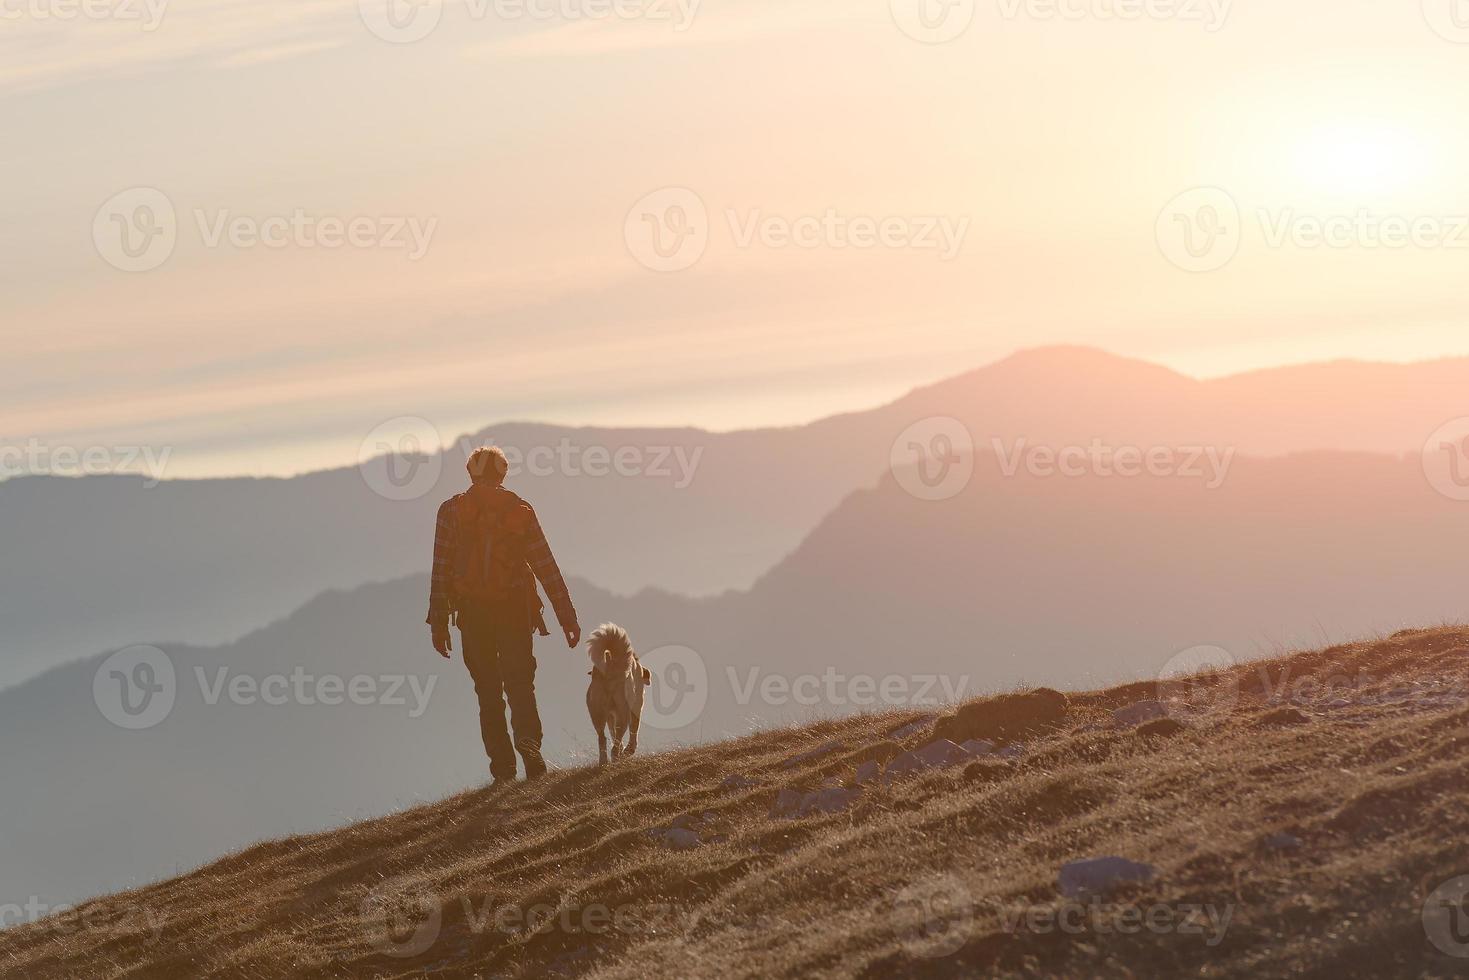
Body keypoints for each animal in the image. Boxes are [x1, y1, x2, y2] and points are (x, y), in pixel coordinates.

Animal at [584, 625, 655, 769]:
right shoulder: (637, 707)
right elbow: (634, 730)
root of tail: (610, 666)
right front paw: (629, 750)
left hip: (597, 715)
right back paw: (617, 758)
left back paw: (604, 762)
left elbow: (612, 733)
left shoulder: (610, 716)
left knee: (603, 739)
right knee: (615, 744)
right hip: (624, 713)